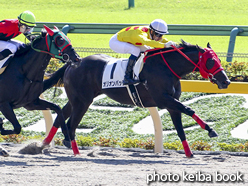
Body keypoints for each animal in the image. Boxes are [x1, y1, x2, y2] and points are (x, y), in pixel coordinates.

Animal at [43, 40, 231, 157]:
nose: (226, 81)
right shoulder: (163, 99)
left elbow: (180, 129)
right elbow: (189, 109)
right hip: (83, 101)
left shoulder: (171, 104)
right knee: (71, 124)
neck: (166, 68)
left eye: (219, 59)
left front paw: (189, 153)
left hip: (77, 99)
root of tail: (73, 63)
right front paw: (211, 130)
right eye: (211, 61)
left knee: (61, 116)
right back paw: (72, 149)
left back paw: (44, 144)